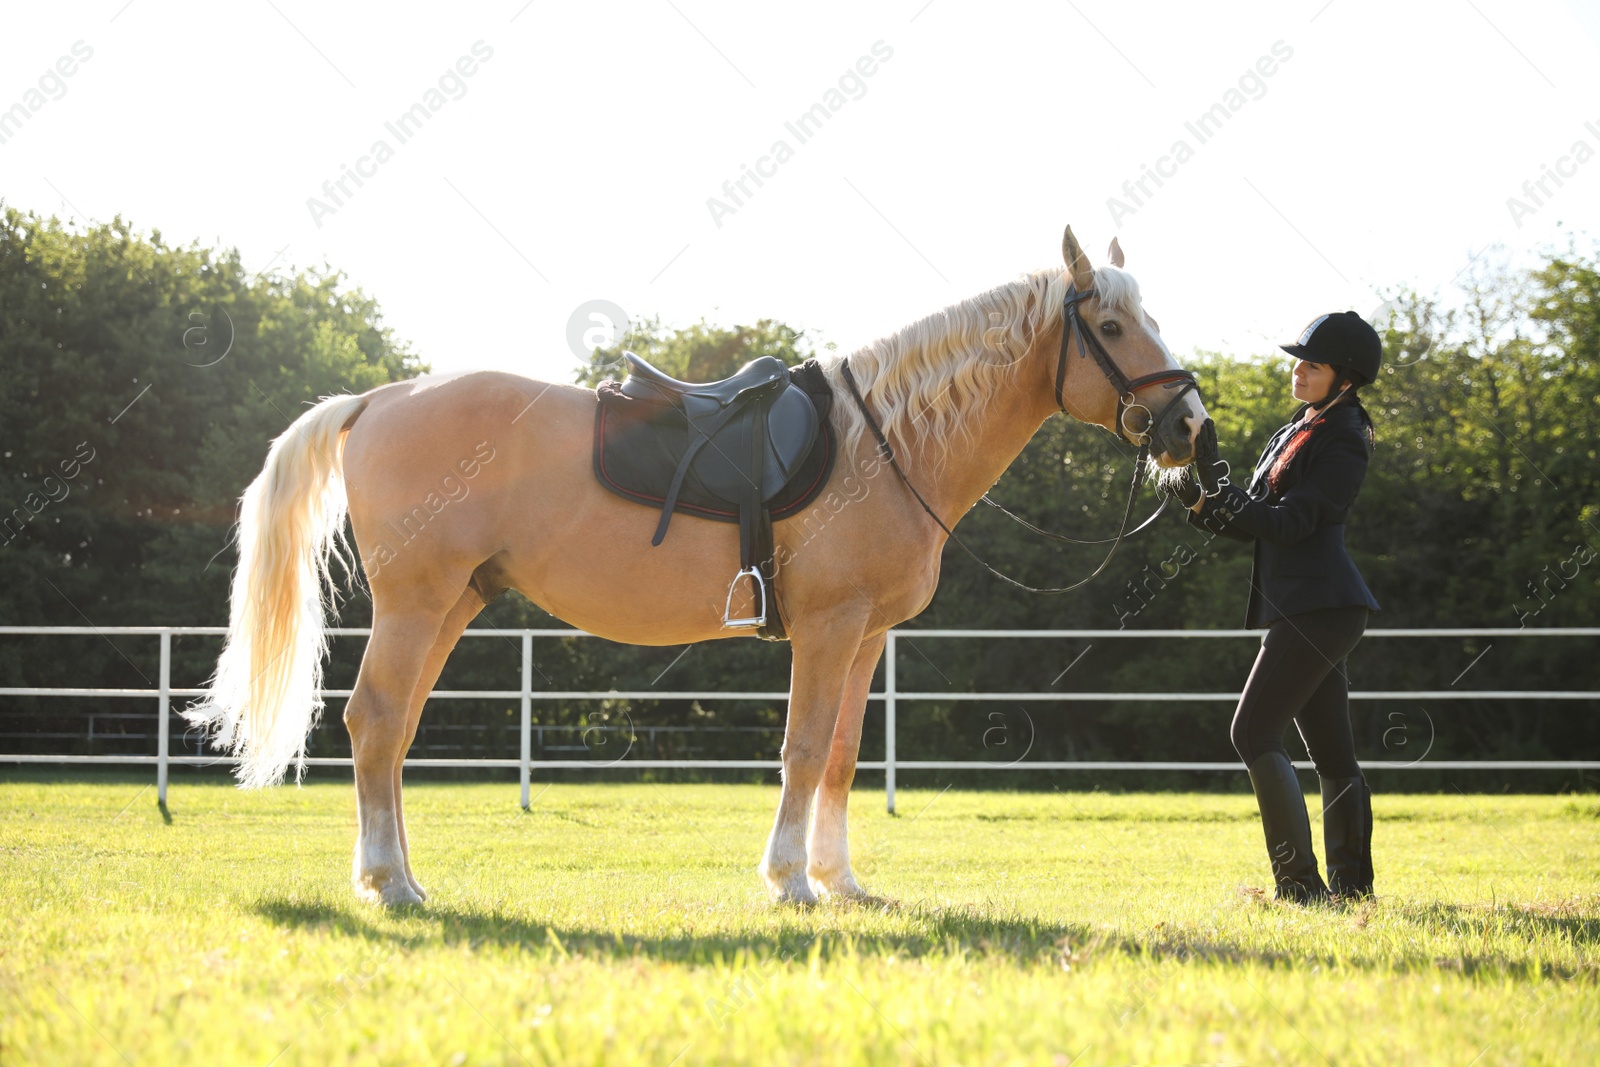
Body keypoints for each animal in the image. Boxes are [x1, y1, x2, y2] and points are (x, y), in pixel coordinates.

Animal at [187, 227, 1203, 908]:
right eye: (1115, 326)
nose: (1192, 424)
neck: (886, 439)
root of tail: (379, 398)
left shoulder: (867, 635)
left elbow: (842, 755)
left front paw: (839, 879)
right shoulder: (829, 627)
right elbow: (802, 749)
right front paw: (791, 881)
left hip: (452, 604)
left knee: (391, 731)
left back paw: (395, 876)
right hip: (416, 601)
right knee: (374, 720)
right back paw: (389, 883)